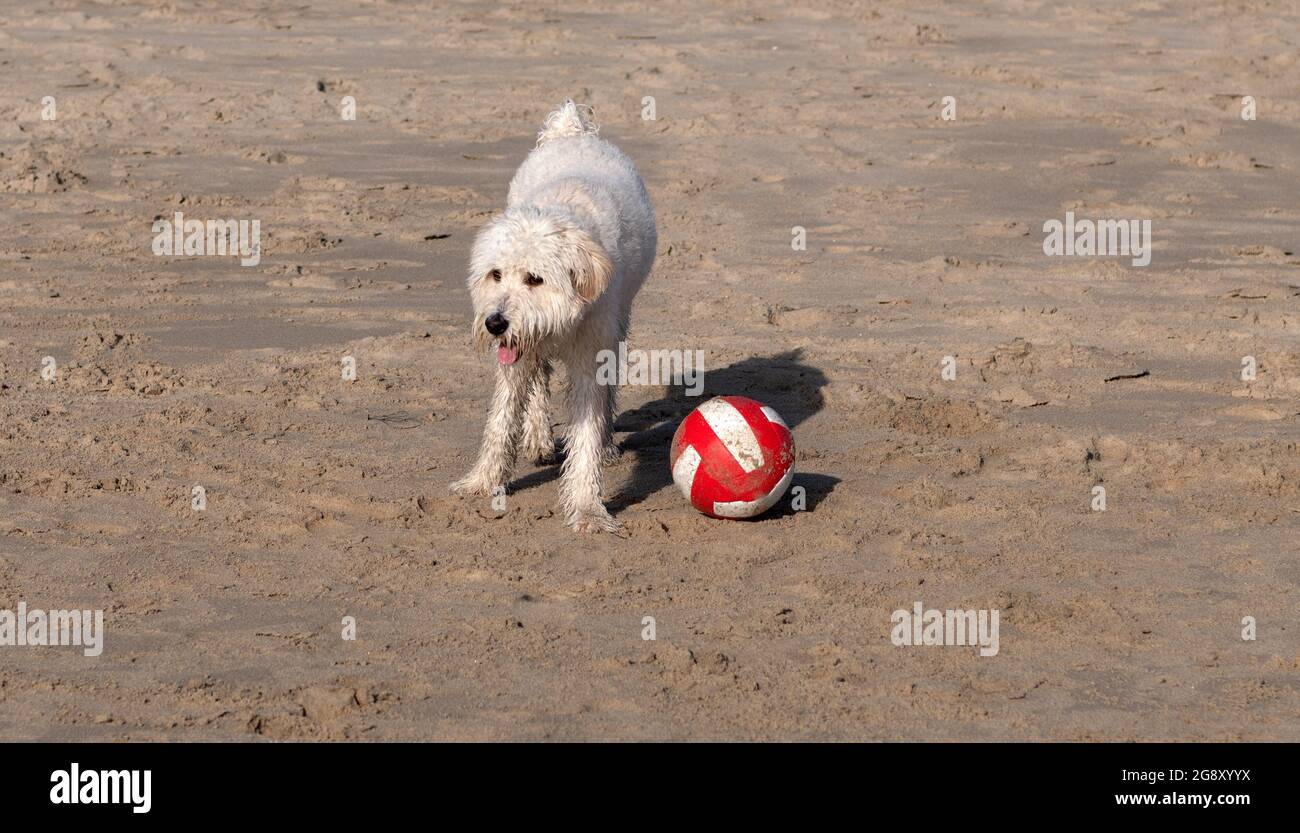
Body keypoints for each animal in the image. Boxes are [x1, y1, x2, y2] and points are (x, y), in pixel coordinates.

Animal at [449, 100, 655, 530]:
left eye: (535, 278)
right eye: (495, 274)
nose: (495, 323)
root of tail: (571, 132)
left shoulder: (592, 355)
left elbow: (588, 430)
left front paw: (588, 507)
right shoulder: (514, 356)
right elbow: (502, 417)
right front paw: (483, 481)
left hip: (619, 326)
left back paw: (606, 442)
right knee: (539, 378)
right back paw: (539, 436)